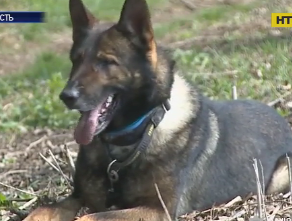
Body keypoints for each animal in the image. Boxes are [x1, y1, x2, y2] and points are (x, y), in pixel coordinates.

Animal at [23, 0, 292, 220]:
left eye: (106, 62)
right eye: (76, 60)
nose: (66, 96)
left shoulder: (156, 209)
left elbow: (88, 218)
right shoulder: (79, 198)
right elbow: (41, 210)